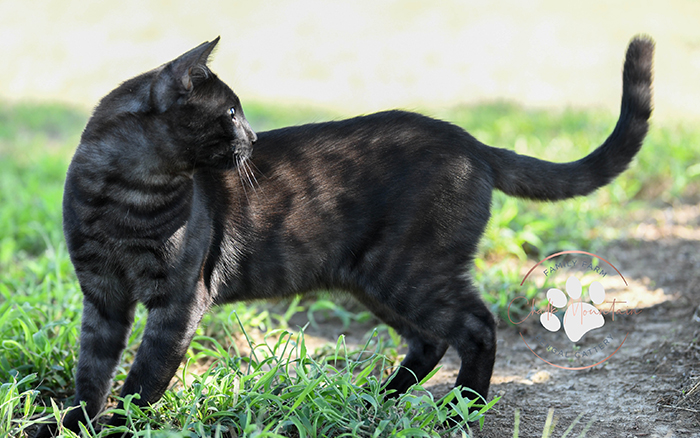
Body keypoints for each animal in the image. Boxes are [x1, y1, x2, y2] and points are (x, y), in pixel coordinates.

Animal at [35, 36, 652, 436]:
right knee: (429, 340)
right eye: (231, 113)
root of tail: (470, 141)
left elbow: (143, 379)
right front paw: (74, 426)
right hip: (376, 279)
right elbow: (92, 371)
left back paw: (461, 412)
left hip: (409, 270)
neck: (124, 197)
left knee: (476, 327)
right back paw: (375, 400)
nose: (253, 138)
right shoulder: (103, 297)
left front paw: (118, 429)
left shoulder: (178, 300)